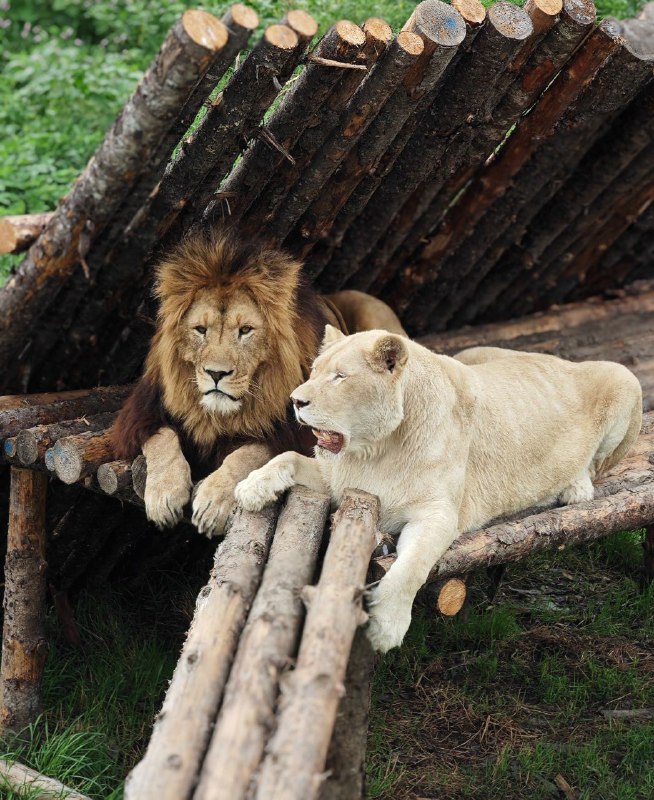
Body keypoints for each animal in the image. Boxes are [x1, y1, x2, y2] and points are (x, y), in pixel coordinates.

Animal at [111, 230, 404, 536]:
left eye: (245, 330)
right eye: (201, 330)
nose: (216, 373)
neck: (217, 414)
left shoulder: (293, 433)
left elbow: (248, 454)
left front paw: (213, 502)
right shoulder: (143, 413)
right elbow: (162, 439)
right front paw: (164, 496)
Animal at [237, 328, 644, 652]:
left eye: (340, 377)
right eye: (315, 371)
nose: (295, 401)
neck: (375, 450)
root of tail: (564, 360)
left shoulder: (438, 514)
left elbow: (410, 569)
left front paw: (386, 626)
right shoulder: (337, 479)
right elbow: (286, 457)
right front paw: (249, 489)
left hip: (624, 378)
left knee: (596, 466)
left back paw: (574, 488)